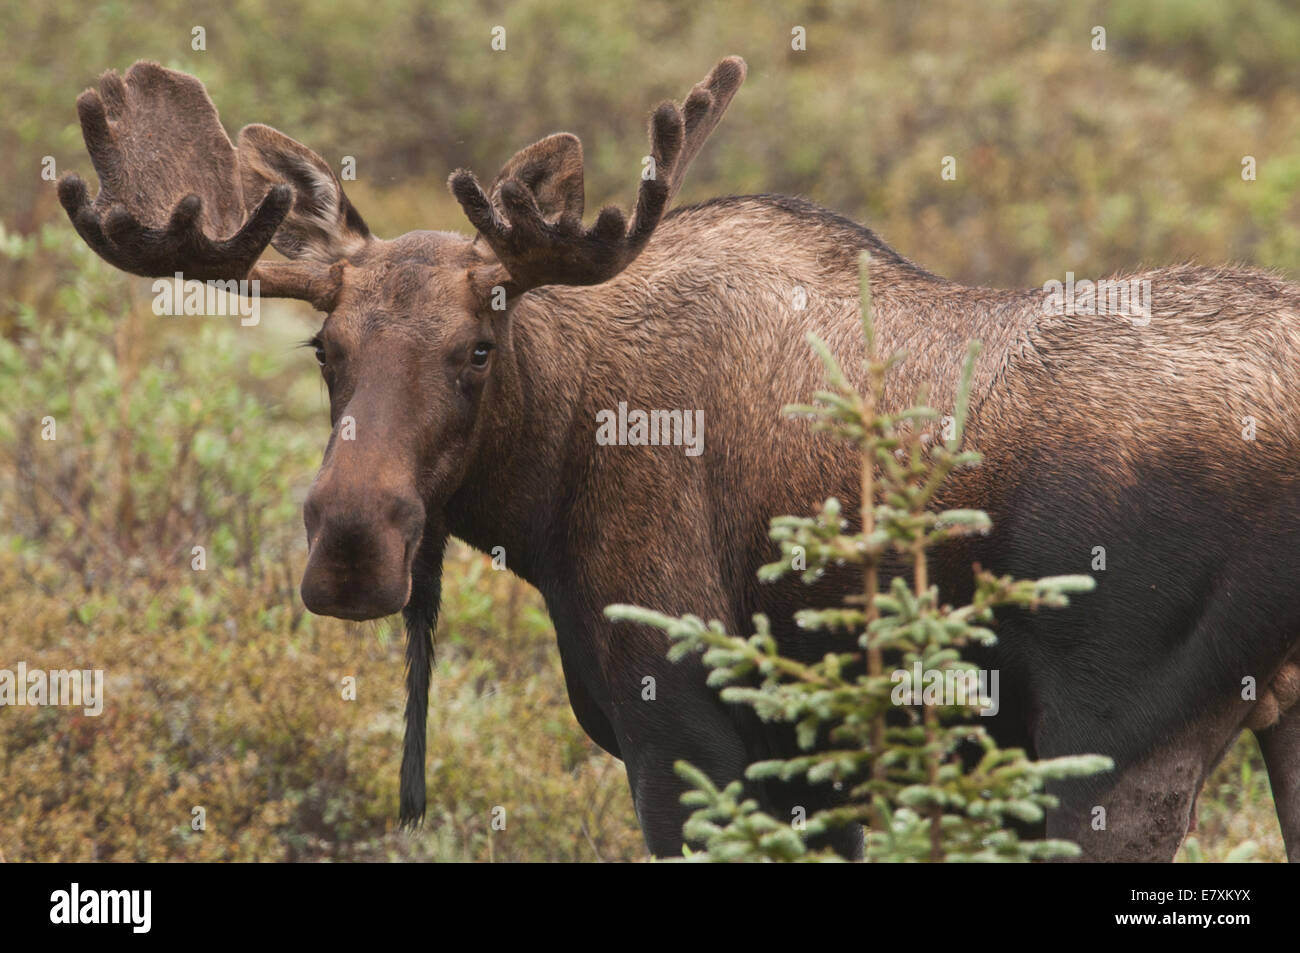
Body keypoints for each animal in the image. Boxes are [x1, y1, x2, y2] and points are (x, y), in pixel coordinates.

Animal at [58, 59, 1300, 863]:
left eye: (477, 347)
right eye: (325, 348)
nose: (352, 547)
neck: (547, 487)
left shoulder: (687, 734)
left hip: (1110, 736)